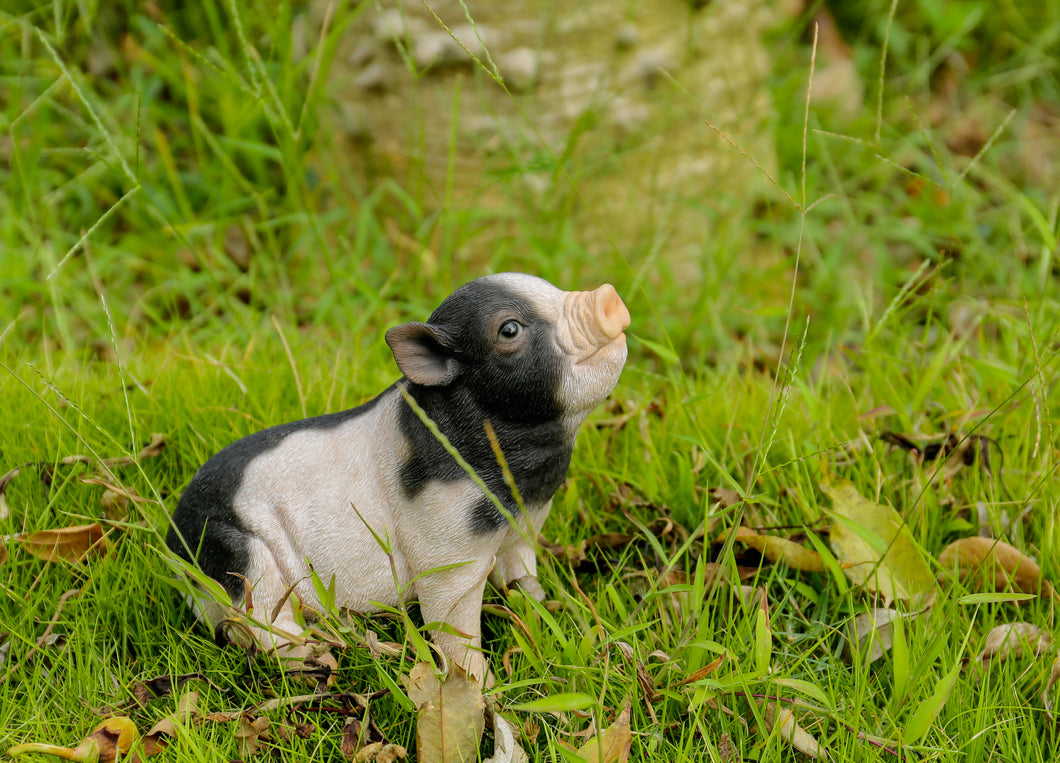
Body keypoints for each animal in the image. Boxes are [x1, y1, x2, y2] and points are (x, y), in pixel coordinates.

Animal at [165, 273, 627, 678]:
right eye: (509, 329)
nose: (609, 296)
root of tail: (171, 544)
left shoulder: (522, 530)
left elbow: (522, 575)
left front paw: (544, 609)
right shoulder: (447, 549)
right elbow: (451, 619)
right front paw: (479, 686)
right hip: (234, 553)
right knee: (259, 617)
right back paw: (316, 657)